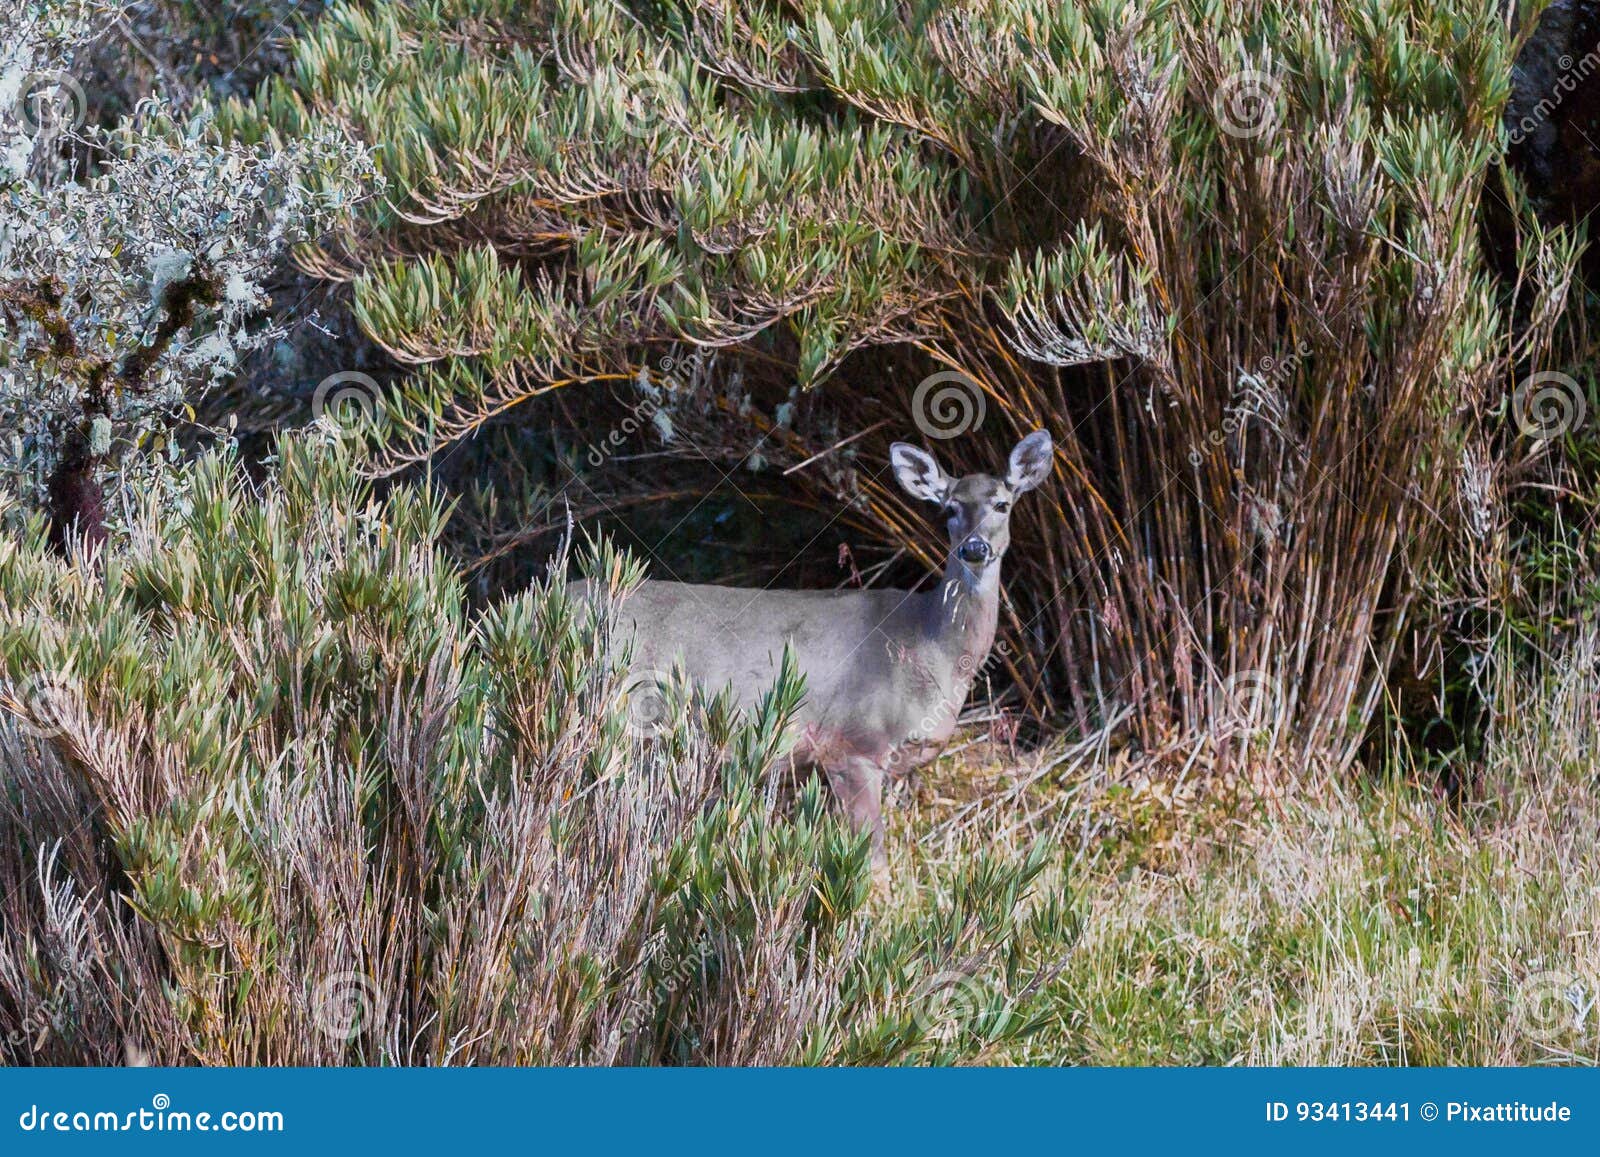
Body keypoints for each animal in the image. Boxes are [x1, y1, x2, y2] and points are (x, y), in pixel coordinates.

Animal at [582, 432, 1056, 876]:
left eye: (1002, 504)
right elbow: (873, 865)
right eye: (950, 508)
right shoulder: (852, 742)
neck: (929, 646)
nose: (974, 548)